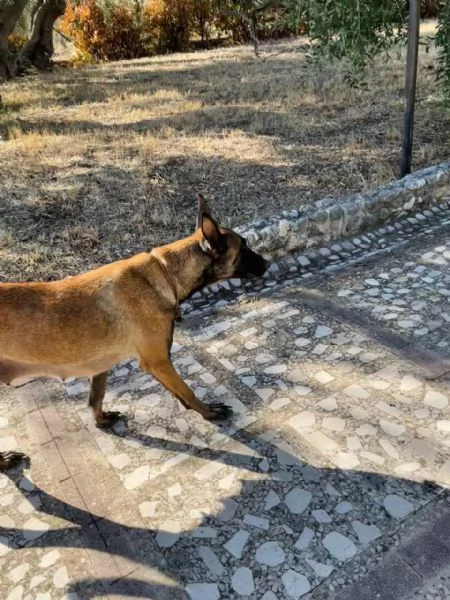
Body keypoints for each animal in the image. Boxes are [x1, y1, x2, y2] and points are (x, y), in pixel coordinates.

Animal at [0, 195, 268, 472]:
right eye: (244, 247)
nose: (268, 263)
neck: (164, 273)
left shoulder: (102, 366)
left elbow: (96, 397)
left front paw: (101, 421)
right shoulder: (158, 362)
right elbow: (187, 391)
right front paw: (209, 412)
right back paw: (4, 461)